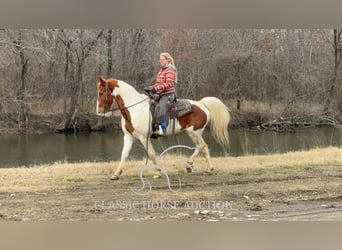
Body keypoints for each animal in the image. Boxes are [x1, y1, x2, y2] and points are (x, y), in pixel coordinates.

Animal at [96, 75, 230, 181]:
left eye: (101, 93)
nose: (99, 111)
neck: (134, 109)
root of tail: (202, 104)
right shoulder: (129, 136)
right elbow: (124, 154)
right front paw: (116, 174)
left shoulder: (143, 137)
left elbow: (151, 154)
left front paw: (158, 173)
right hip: (192, 133)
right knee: (200, 147)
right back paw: (194, 166)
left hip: (194, 133)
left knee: (203, 146)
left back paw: (203, 168)